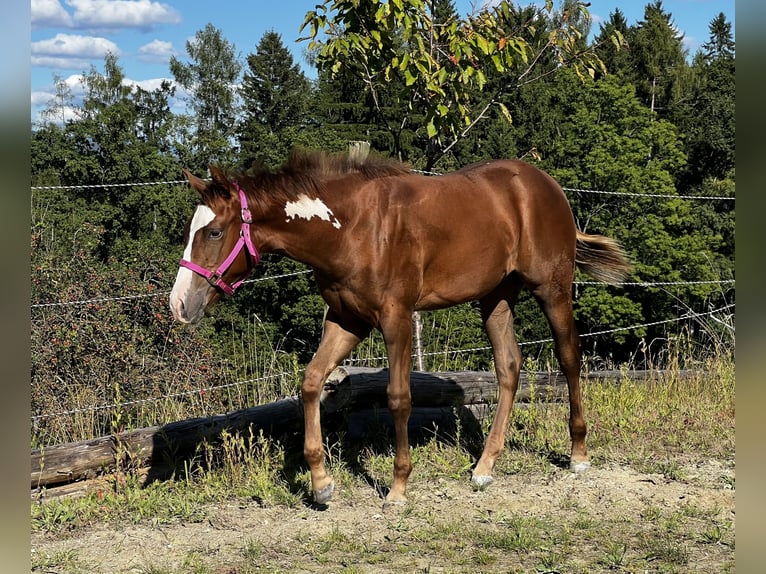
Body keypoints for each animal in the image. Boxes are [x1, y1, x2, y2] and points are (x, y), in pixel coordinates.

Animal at [169, 149, 630, 507]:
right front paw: (321, 484)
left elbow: (398, 398)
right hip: (496, 296)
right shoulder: (347, 319)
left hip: (552, 288)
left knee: (569, 359)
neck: (353, 228)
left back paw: (578, 454)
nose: (179, 305)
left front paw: (398, 488)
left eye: (214, 232)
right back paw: (484, 467)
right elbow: (312, 382)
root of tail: (546, 184)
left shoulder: (396, 317)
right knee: (509, 368)